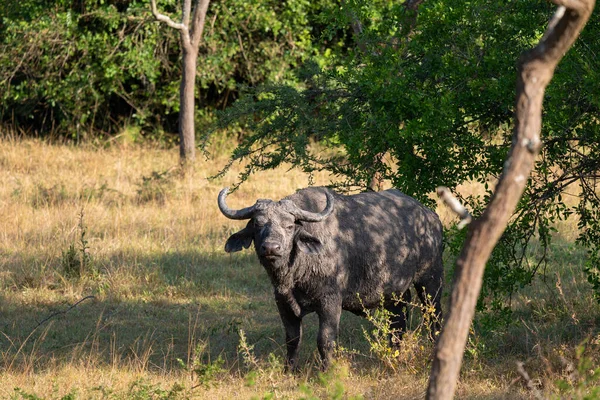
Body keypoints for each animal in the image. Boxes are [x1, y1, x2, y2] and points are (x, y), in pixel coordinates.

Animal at [218, 186, 442, 370]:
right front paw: (289, 371)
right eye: (257, 224)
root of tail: (430, 216)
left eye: (289, 226)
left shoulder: (330, 302)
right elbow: (292, 339)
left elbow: (325, 340)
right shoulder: (282, 303)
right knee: (398, 320)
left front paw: (327, 371)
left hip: (430, 280)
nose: (271, 248)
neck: (295, 274)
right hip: (395, 293)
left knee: (434, 315)